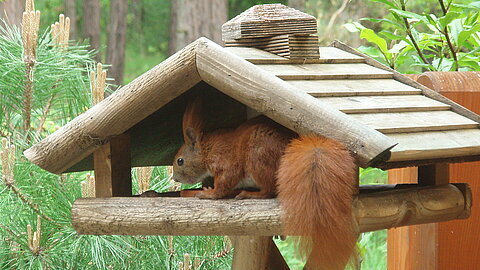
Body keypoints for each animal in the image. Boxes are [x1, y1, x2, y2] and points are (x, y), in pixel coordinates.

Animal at [172, 97, 356, 270]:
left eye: (180, 161)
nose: (174, 178)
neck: (207, 150)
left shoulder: (226, 163)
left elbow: (223, 186)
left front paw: (208, 193)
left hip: (258, 158)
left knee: (269, 191)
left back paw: (249, 194)